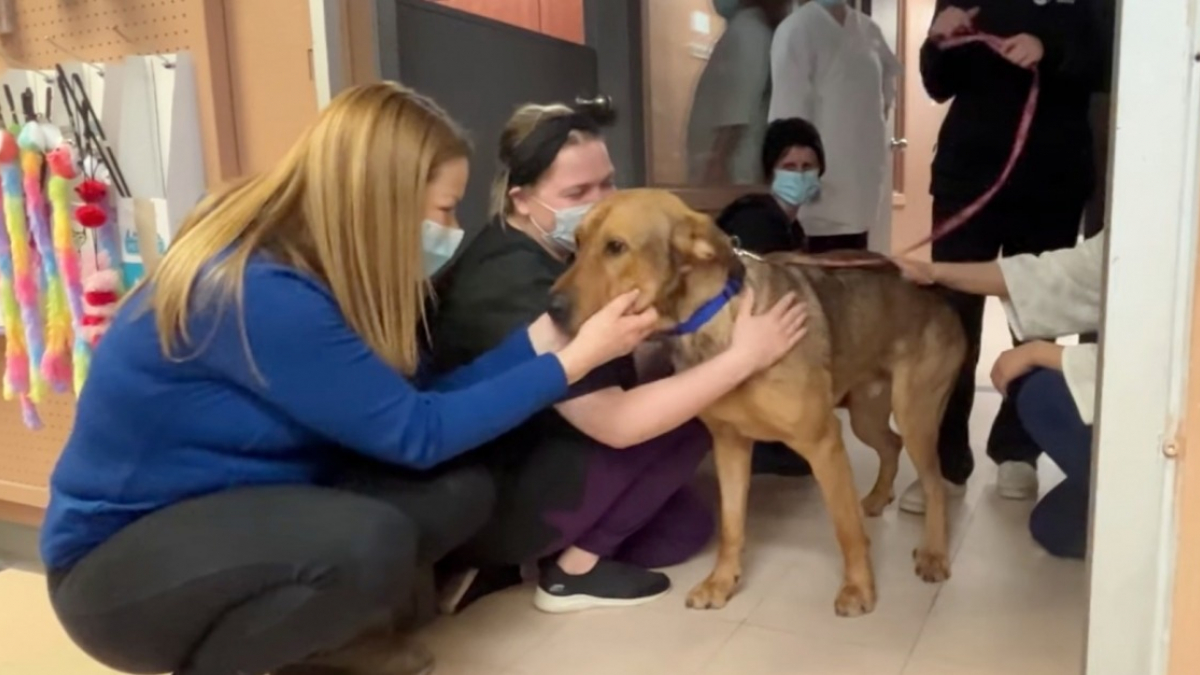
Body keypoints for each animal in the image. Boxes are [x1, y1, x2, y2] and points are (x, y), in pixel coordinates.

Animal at [549, 187, 964, 614]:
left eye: (615, 247)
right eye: (577, 244)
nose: (551, 309)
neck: (713, 319)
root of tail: (939, 299)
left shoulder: (824, 441)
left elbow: (846, 528)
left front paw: (859, 588)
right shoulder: (730, 444)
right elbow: (732, 526)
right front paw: (721, 582)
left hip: (914, 414)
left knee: (933, 483)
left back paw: (933, 552)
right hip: (866, 414)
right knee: (891, 445)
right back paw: (880, 498)